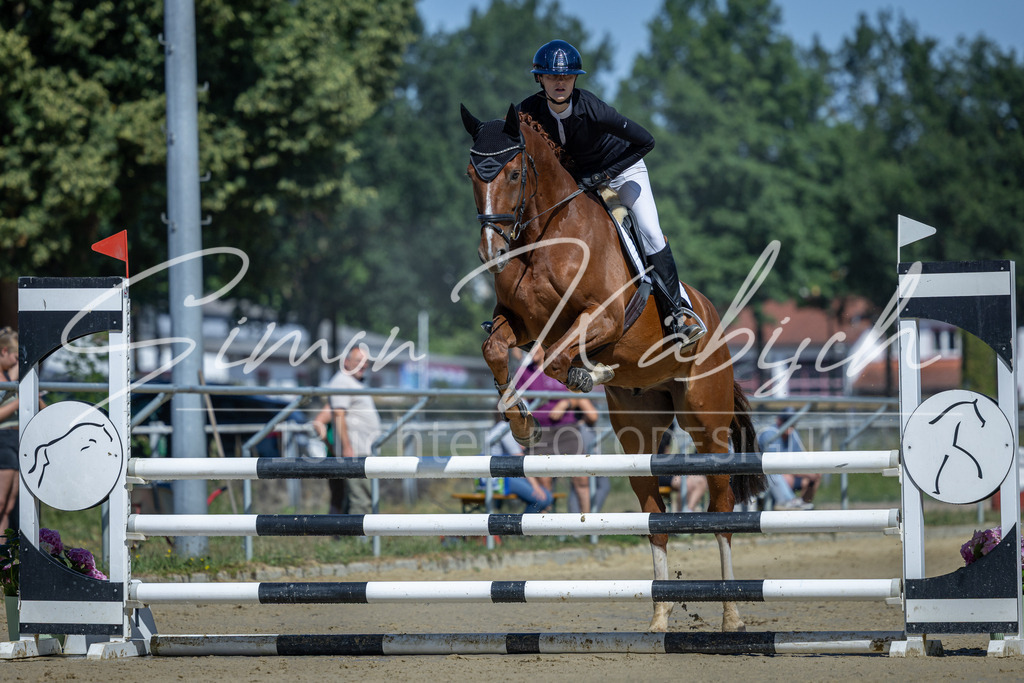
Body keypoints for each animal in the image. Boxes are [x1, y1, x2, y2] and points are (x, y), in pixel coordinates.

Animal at [461, 103, 766, 633]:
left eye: (515, 173)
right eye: (469, 175)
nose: (491, 254)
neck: (547, 235)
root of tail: (713, 318)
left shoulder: (601, 316)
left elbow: (554, 358)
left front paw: (588, 374)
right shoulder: (523, 324)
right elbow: (497, 349)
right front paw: (521, 423)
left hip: (706, 423)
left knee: (722, 509)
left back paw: (731, 614)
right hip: (637, 433)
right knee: (654, 516)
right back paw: (660, 616)